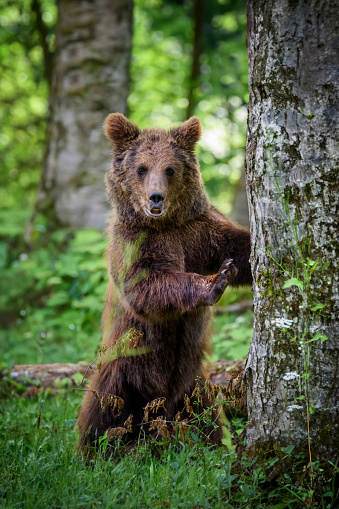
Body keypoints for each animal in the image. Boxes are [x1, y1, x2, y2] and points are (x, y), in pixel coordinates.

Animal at [77, 113, 252, 446]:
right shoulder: (136, 242)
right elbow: (147, 285)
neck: (166, 224)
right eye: (141, 168)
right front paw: (216, 280)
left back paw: (207, 441)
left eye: (170, 168)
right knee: (103, 411)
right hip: (125, 364)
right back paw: (99, 447)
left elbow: (238, 246)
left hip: (193, 382)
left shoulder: (199, 230)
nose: (155, 197)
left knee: (205, 414)